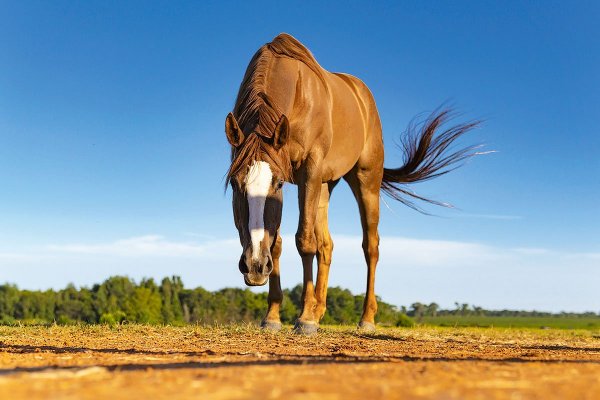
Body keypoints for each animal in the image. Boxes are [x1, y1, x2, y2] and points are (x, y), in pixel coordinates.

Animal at [223, 33, 480, 334]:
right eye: (235, 184)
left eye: (277, 184)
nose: (254, 266)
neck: (296, 93)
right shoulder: (303, 180)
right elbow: (278, 243)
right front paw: (274, 316)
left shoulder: (308, 170)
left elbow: (304, 241)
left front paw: (304, 319)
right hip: (324, 185)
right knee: (327, 245)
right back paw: (318, 310)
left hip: (365, 181)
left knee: (370, 246)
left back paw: (365, 318)